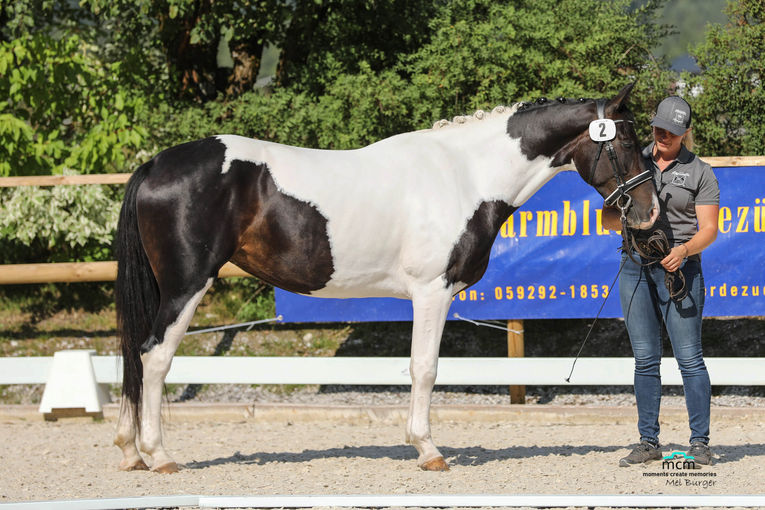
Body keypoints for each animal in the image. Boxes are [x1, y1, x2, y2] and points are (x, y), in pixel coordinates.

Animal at [112, 81, 656, 472]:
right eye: (628, 140)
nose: (649, 214)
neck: (465, 175)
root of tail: (155, 164)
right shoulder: (432, 292)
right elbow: (425, 369)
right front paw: (428, 450)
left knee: (137, 356)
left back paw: (130, 450)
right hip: (186, 287)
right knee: (154, 356)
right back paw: (158, 455)